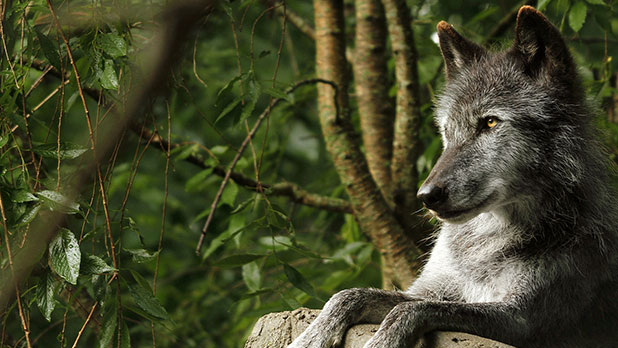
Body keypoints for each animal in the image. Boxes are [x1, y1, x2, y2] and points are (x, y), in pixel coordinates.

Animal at [286, 6, 616, 348]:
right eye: (446, 131)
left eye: (490, 122)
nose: (426, 196)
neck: (486, 240)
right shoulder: (430, 288)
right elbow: (351, 295)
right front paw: (309, 338)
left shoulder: (521, 320)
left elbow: (411, 310)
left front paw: (381, 342)